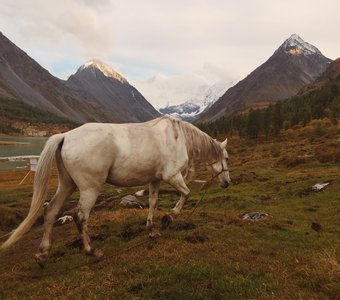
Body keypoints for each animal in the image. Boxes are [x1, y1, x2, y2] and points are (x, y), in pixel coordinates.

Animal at [0, 116, 231, 266]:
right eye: (226, 157)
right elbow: (186, 193)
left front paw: (152, 229)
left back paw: (42, 255)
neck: (178, 137)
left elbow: (153, 202)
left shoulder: (155, 180)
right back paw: (92, 252)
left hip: (67, 185)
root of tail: (65, 136)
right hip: (89, 188)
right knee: (80, 216)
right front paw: (169, 217)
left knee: (51, 211)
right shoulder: (172, 176)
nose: (227, 182)